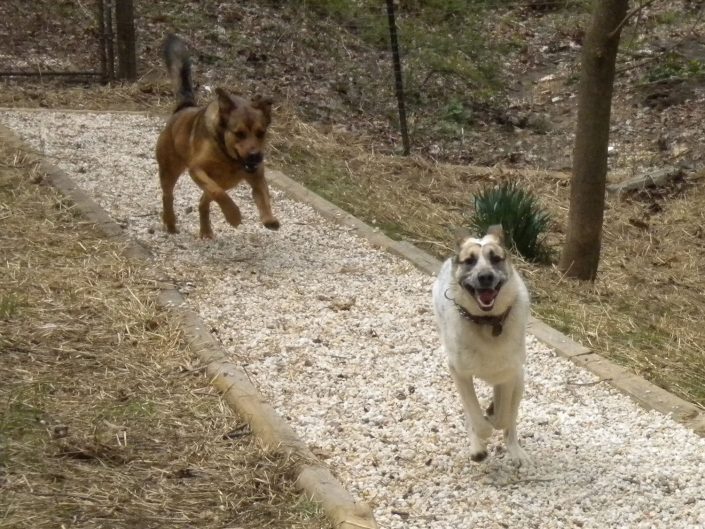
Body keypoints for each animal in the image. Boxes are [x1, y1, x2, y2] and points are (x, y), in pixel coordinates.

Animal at [155, 34, 280, 238]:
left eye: (261, 133)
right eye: (239, 133)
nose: (255, 156)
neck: (229, 158)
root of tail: (184, 108)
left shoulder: (257, 176)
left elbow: (263, 196)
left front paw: (269, 219)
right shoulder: (197, 169)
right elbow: (218, 192)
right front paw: (234, 216)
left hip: (226, 182)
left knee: (203, 202)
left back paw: (206, 231)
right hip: (169, 169)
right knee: (169, 195)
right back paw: (170, 222)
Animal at [432, 225, 532, 464]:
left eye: (495, 258)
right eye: (469, 261)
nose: (485, 276)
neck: (488, 323)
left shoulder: (509, 374)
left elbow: (504, 417)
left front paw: (494, 415)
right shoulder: (458, 372)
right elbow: (476, 417)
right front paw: (482, 431)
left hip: (520, 380)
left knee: (510, 420)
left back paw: (515, 449)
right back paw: (477, 447)